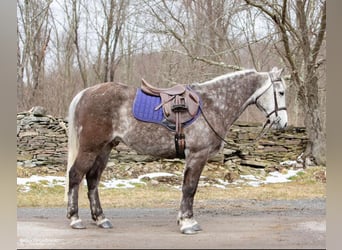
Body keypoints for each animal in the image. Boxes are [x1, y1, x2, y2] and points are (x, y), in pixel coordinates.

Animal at [65, 67, 288, 234]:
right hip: (90, 148)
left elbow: (187, 188)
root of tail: (86, 93)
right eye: (281, 92)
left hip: (104, 149)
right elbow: (190, 188)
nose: (283, 123)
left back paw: (100, 218)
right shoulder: (197, 155)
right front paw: (188, 223)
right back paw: (75, 218)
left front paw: (183, 220)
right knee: (76, 175)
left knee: (92, 179)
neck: (213, 104)